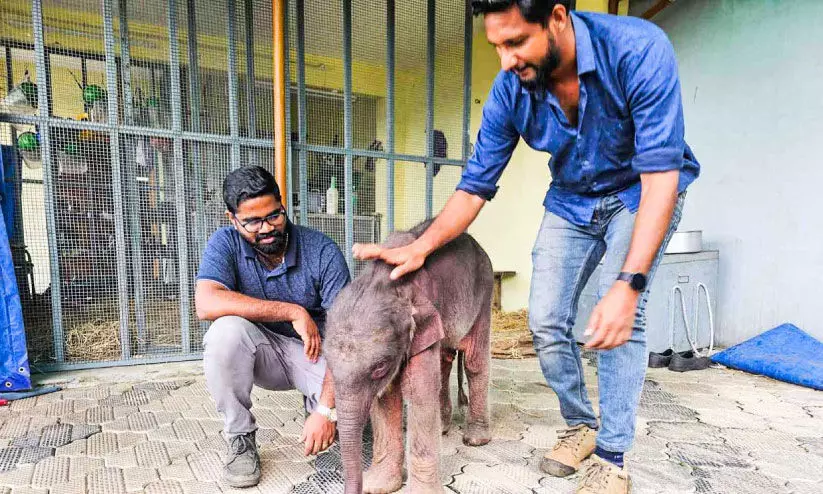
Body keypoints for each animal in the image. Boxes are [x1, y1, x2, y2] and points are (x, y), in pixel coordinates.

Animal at [326, 221, 496, 494]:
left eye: (380, 368)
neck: (389, 283)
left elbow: (419, 392)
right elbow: (386, 397)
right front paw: (378, 486)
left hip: (484, 292)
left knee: (474, 360)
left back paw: (475, 439)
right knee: (444, 360)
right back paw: (443, 427)